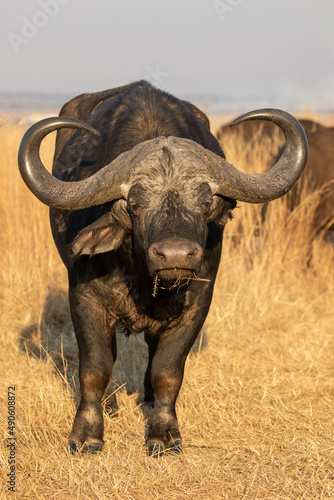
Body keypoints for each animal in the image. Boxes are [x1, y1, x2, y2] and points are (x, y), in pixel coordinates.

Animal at [17, 79, 306, 458]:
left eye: (204, 202)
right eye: (135, 204)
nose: (175, 255)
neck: (141, 279)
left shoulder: (197, 305)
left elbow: (167, 370)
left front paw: (163, 434)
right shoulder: (84, 299)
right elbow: (95, 367)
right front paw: (87, 434)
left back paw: (149, 401)